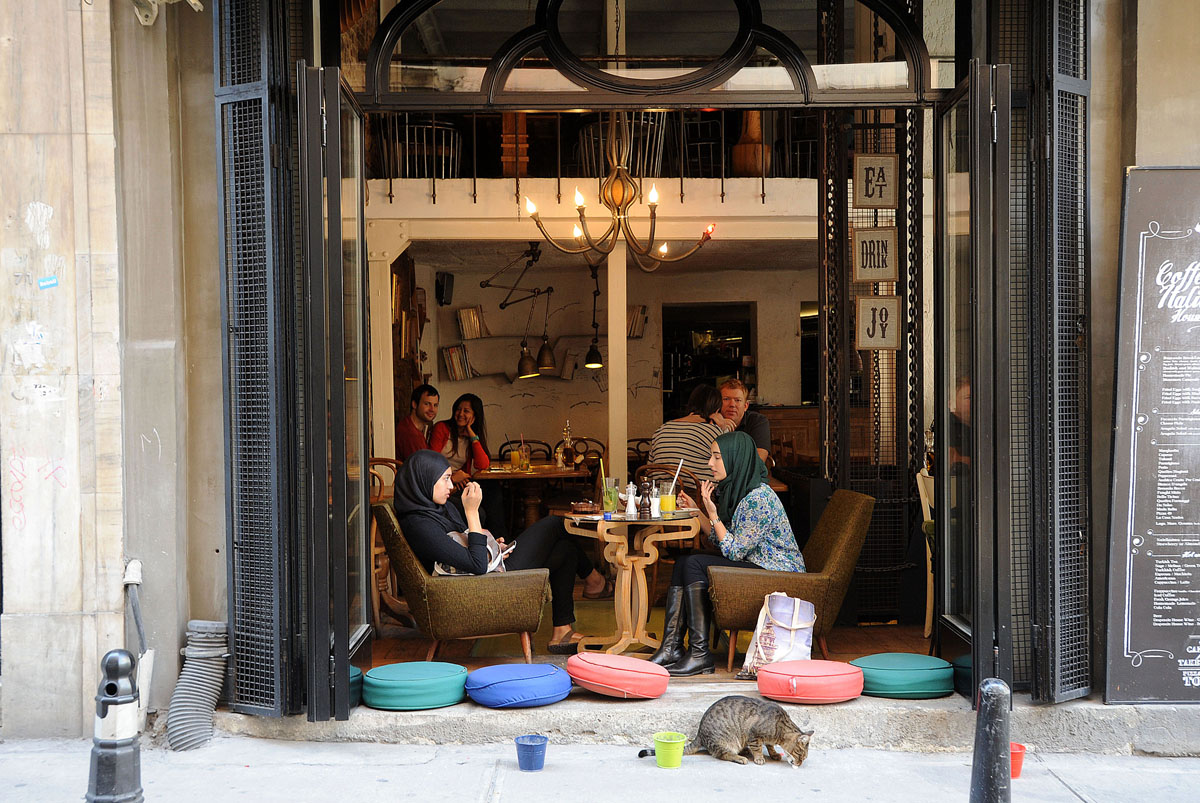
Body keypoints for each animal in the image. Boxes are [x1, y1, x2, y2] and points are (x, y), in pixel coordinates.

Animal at [638, 695, 814, 767]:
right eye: (800, 754)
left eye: (804, 757)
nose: (799, 764)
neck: (780, 729)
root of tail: (699, 733)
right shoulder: (754, 735)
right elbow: (758, 748)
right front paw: (759, 758)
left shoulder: (766, 739)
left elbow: (769, 746)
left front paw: (774, 754)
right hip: (726, 741)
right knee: (723, 754)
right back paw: (741, 757)